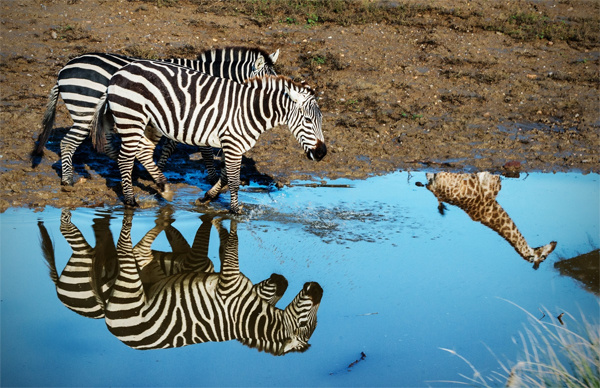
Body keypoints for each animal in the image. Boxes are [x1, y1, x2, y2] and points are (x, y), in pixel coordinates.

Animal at [34, 47, 282, 186]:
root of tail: (63, 70)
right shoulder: (192, 112)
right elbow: (201, 149)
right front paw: (210, 177)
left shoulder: (182, 115)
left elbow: (172, 145)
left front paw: (156, 169)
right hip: (86, 110)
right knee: (68, 143)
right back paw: (68, 180)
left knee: (106, 143)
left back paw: (129, 168)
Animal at [92, 60, 328, 212]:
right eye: (308, 121)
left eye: (321, 120)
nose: (322, 153)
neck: (250, 110)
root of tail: (118, 73)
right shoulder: (232, 143)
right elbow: (233, 181)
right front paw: (236, 211)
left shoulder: (234, 145)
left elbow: (225, 176)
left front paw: (206, 197)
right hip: (131, 117)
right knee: (125, 158)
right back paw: (130, 201)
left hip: (148, 123)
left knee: (143, 151)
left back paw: (163, 187)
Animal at [107, 215, 324, 354]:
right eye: (305, 324)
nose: (319, 289)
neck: (248, 318)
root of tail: (115, 331)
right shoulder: (234, 283)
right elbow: (228, 245)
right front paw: (222, 220)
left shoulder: (229, 283)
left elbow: (231, 247)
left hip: (131, 287)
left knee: (132, 249)